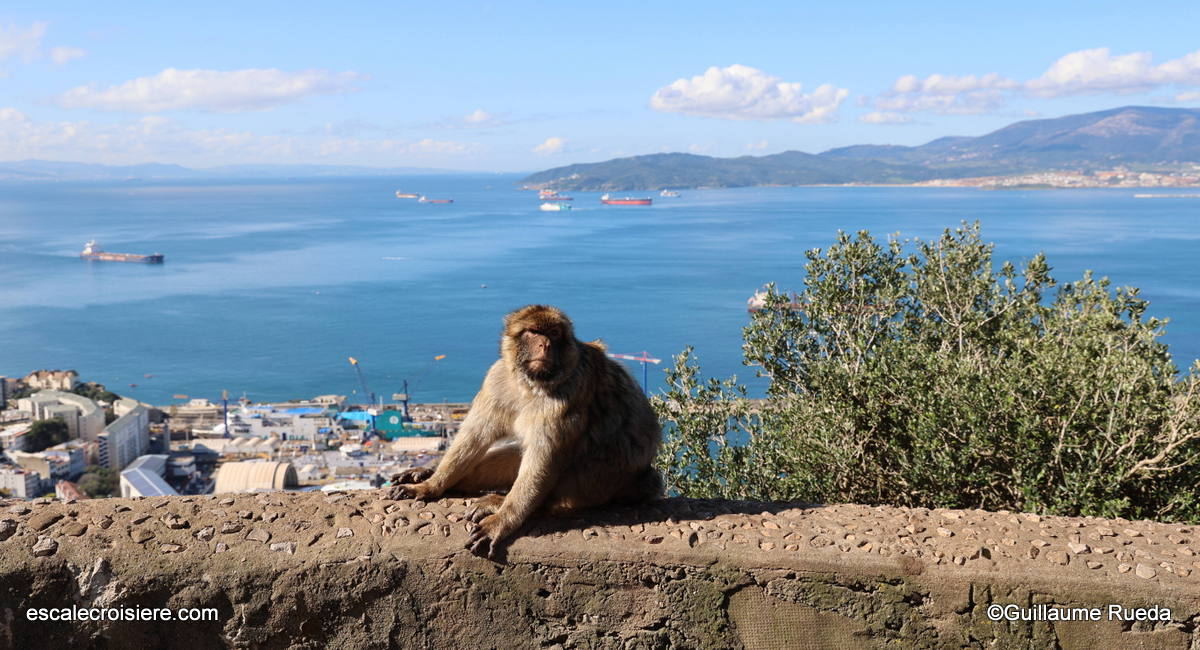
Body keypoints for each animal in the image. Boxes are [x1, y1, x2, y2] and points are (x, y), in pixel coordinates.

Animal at [388, 304, 662, 558]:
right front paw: (431, 484)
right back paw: (436, 475)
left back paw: (500, 503)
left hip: (602, 480)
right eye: (533, 332)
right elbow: (474, 436)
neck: (530, 383)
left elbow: (544, 459)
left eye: (554, 333)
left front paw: (501, 521)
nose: (545, 344)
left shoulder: (569, 393)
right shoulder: (497, 378)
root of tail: (642, 479)